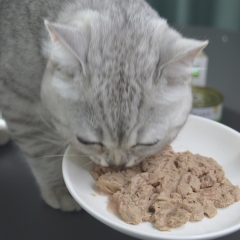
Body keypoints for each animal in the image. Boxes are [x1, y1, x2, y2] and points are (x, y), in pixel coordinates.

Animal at [0, 0, 207, 210]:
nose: (117, 164)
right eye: (86, 141)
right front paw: (60, 187)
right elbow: (41, 149)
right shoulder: (18, 103)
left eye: (147, 144)